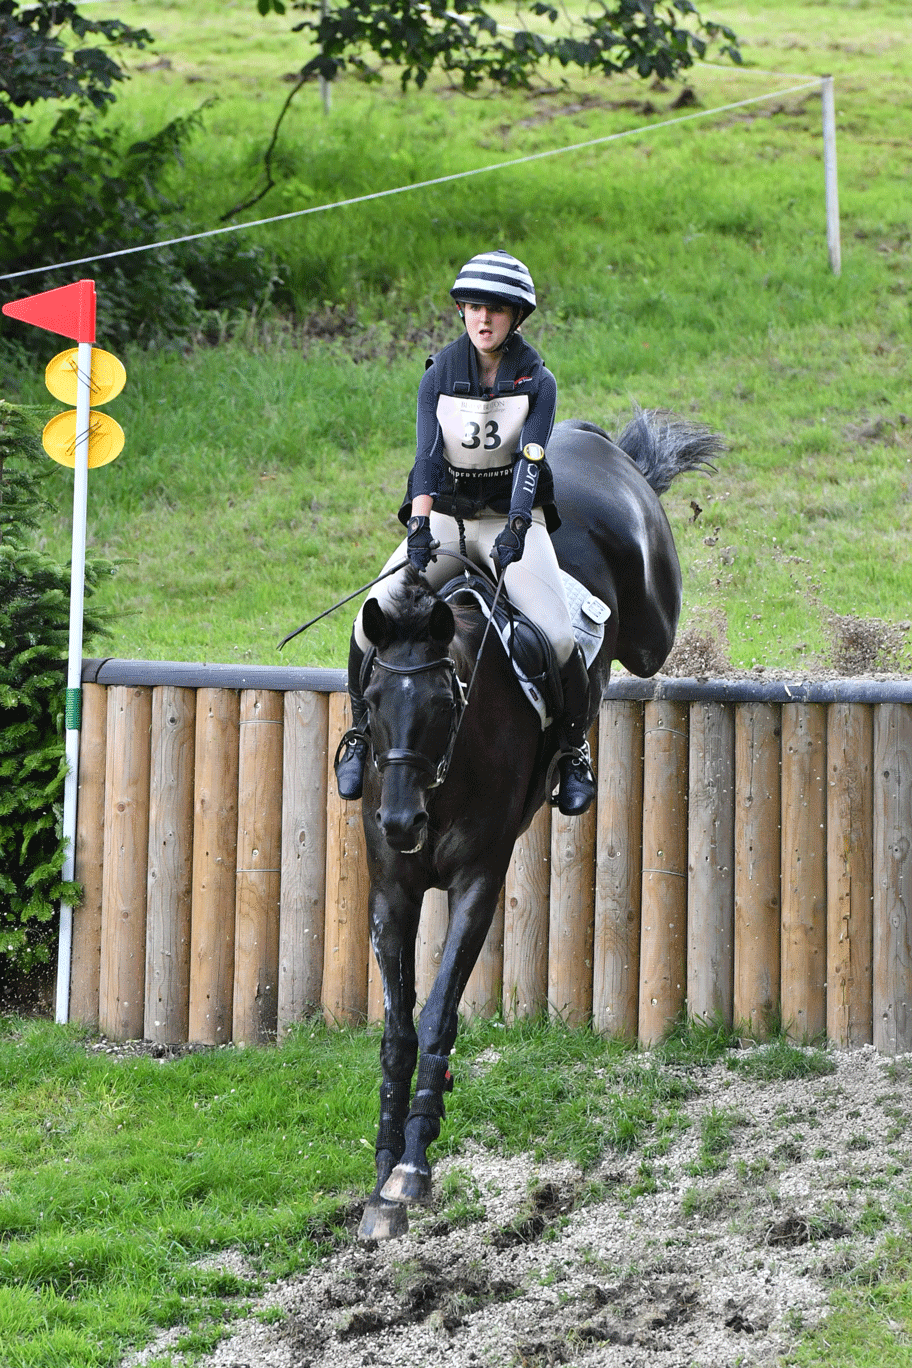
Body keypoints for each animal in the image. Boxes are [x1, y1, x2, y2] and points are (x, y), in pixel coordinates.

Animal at [355, 407, 721, 1242]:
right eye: (373, 700)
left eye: (444, 704)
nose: (400, 821)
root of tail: (592, 441)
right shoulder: (392, 889)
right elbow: (396, 1028)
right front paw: (384, 1171)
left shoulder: (476, 882)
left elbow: (436, 1016)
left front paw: (413, 1168)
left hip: (648, 620)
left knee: (628, 645)